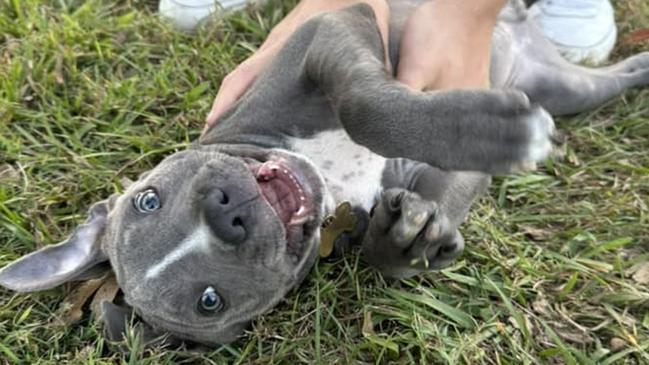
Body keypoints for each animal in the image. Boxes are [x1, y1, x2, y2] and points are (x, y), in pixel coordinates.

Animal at [1, 0, 648, 346]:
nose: (227, 215)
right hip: (567, 87)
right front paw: (405, 242)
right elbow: (420, 214)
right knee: (608, 81)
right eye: (208, 301)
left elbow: (365, 106)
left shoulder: (327, 30)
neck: (329, 180)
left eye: (148, 199)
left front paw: (487, 130)